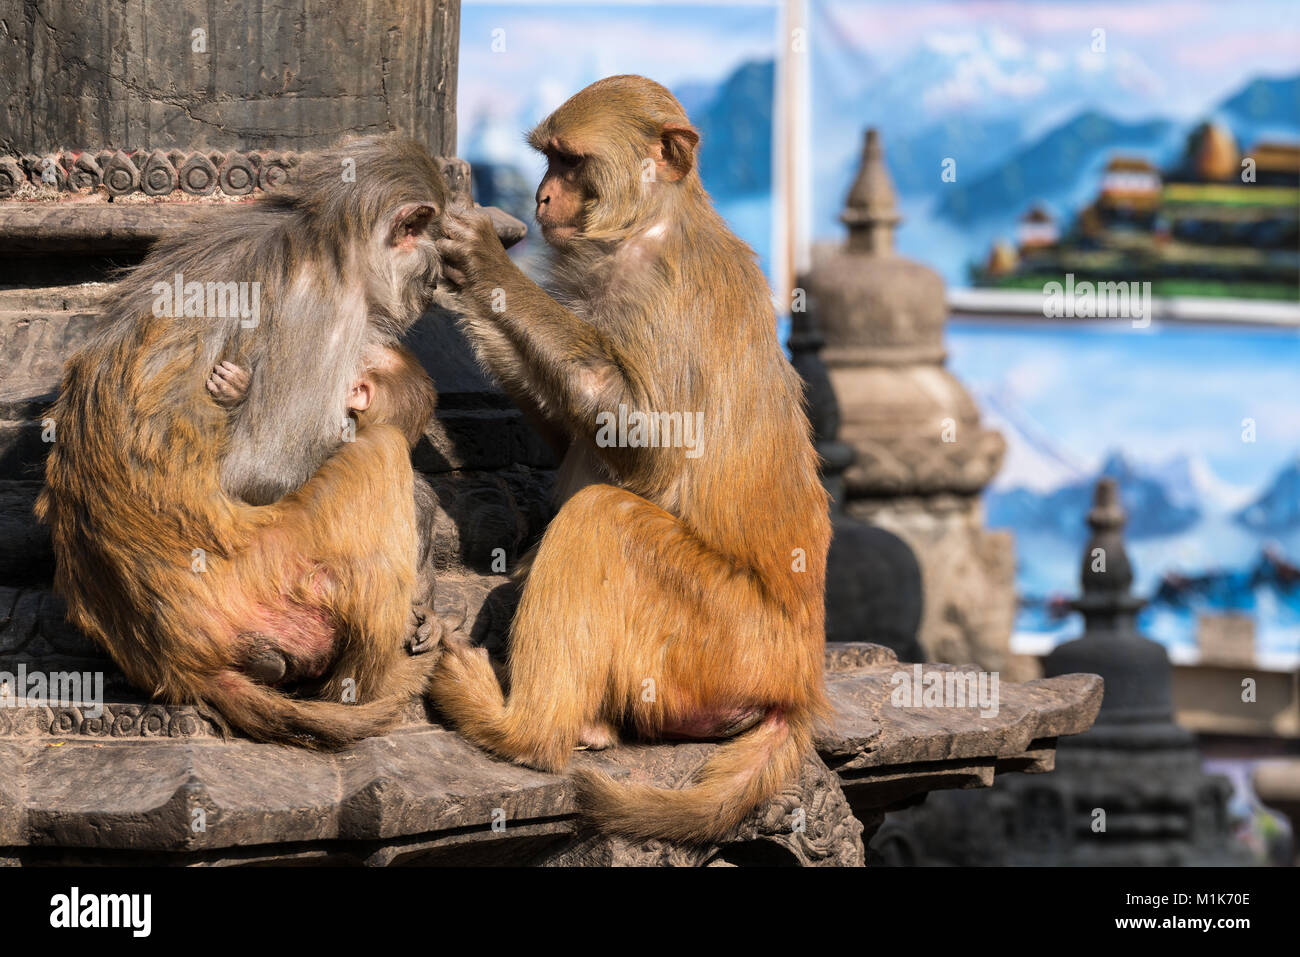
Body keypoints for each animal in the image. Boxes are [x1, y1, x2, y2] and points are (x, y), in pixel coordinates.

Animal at [35, 134, 452, 748]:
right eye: (433, 239)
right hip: (271, 572)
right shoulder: (322, 314)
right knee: (379, 452)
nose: (438, 276)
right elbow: (256, 472)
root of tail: (173, 664)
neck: (329, 246)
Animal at [428, 76, 832, 842]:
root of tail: (796, 684)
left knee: (603, 519)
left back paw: (520, 729)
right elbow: (569, 433)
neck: (645, 223)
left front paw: (487, 266)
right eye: (546, 159)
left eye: (570, 160)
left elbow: (652, 445)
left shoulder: (657, 293)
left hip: (724, 639)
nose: (540, 199)